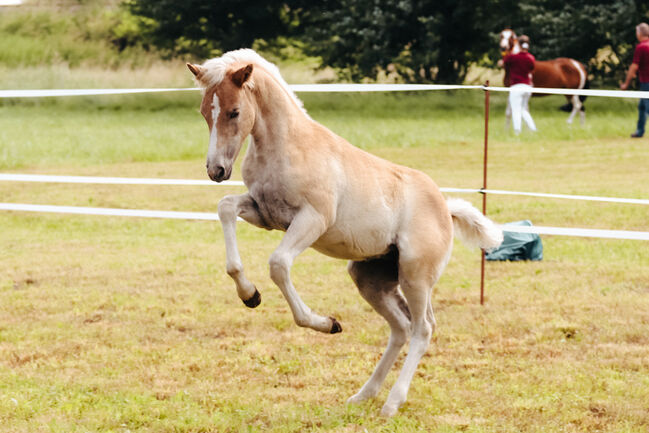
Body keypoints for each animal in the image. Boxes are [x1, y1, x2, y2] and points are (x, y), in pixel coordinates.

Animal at [186, 48, 502, 416]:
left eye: (234, 111)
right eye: (204, 111)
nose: (216, 170)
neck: (288, 146)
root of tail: (445, 208)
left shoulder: (313, 219)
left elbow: (279, 264)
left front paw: (326, 323)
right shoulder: (265, 213)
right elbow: (225, 208)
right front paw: (250, 295)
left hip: (415, 276)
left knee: (422, 329)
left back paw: (392, 403)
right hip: (370, 277)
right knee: (401, 327)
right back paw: (365, 393)